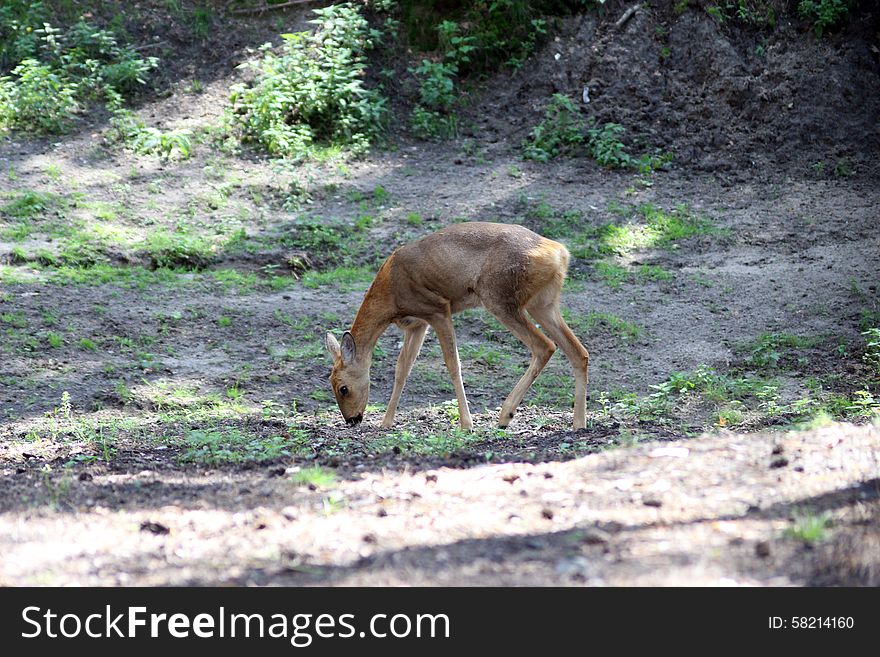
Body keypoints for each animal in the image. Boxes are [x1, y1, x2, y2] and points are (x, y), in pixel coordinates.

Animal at [324, 220, 592, 430]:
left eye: (343, 388)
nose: (352, 420)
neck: (391, 296)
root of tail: (560, 252)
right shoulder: (416, 325)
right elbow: (402, 369)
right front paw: (386, 423)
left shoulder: (438, 309)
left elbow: (453, 364)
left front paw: (466, 424)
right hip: (543, 303)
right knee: (579, 352)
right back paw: (578, 422)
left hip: (499, 298)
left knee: (545, 346)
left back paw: (505, 415)